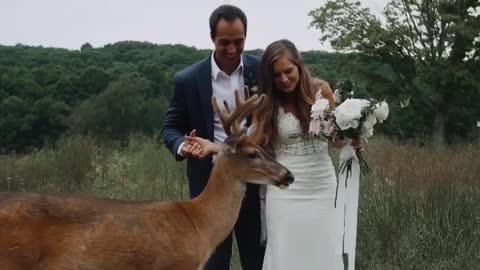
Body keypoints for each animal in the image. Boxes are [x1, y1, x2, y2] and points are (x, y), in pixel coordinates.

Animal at [0, 90, 292, 270]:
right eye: (253, 154)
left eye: (264, 148)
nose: (288, 175)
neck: (199, 224)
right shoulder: (175, 264)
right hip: (13, 260)